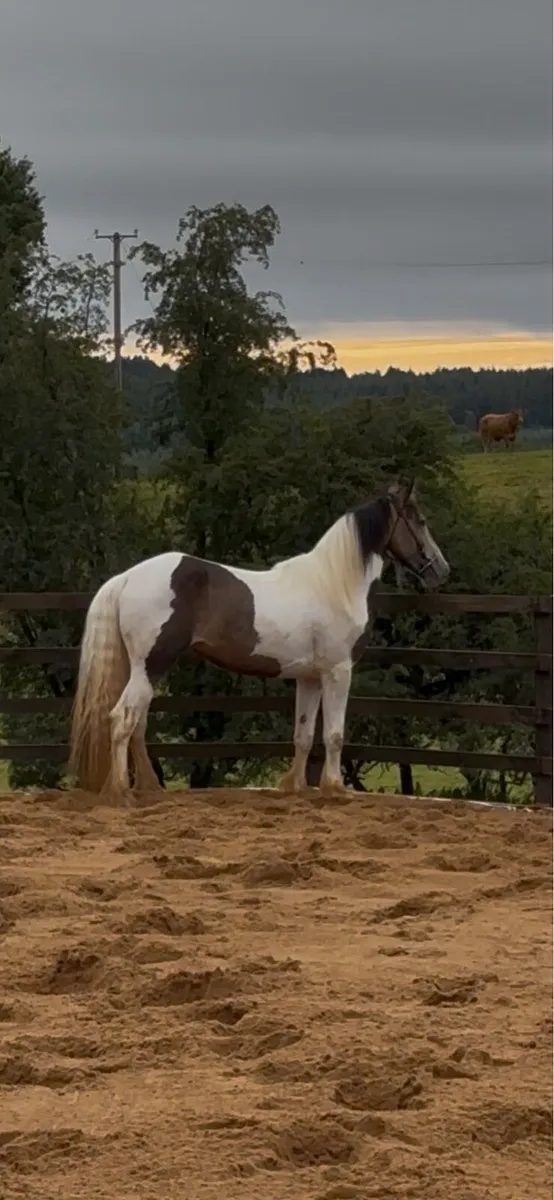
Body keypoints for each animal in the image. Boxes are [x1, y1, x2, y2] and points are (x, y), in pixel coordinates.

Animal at [69, 478, 449, 801]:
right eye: (420, 520)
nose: (441, 570)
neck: (333, 585)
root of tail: (127, 577)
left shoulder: (310, 677)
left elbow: (303, 733)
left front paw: (294, 786)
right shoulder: (337, 672)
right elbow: (334, 735)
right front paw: (335, 789)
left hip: (145, 669)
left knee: (137, 722)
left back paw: (147, 788)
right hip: (151, 665)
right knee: (122, 719)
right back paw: (121, 791)